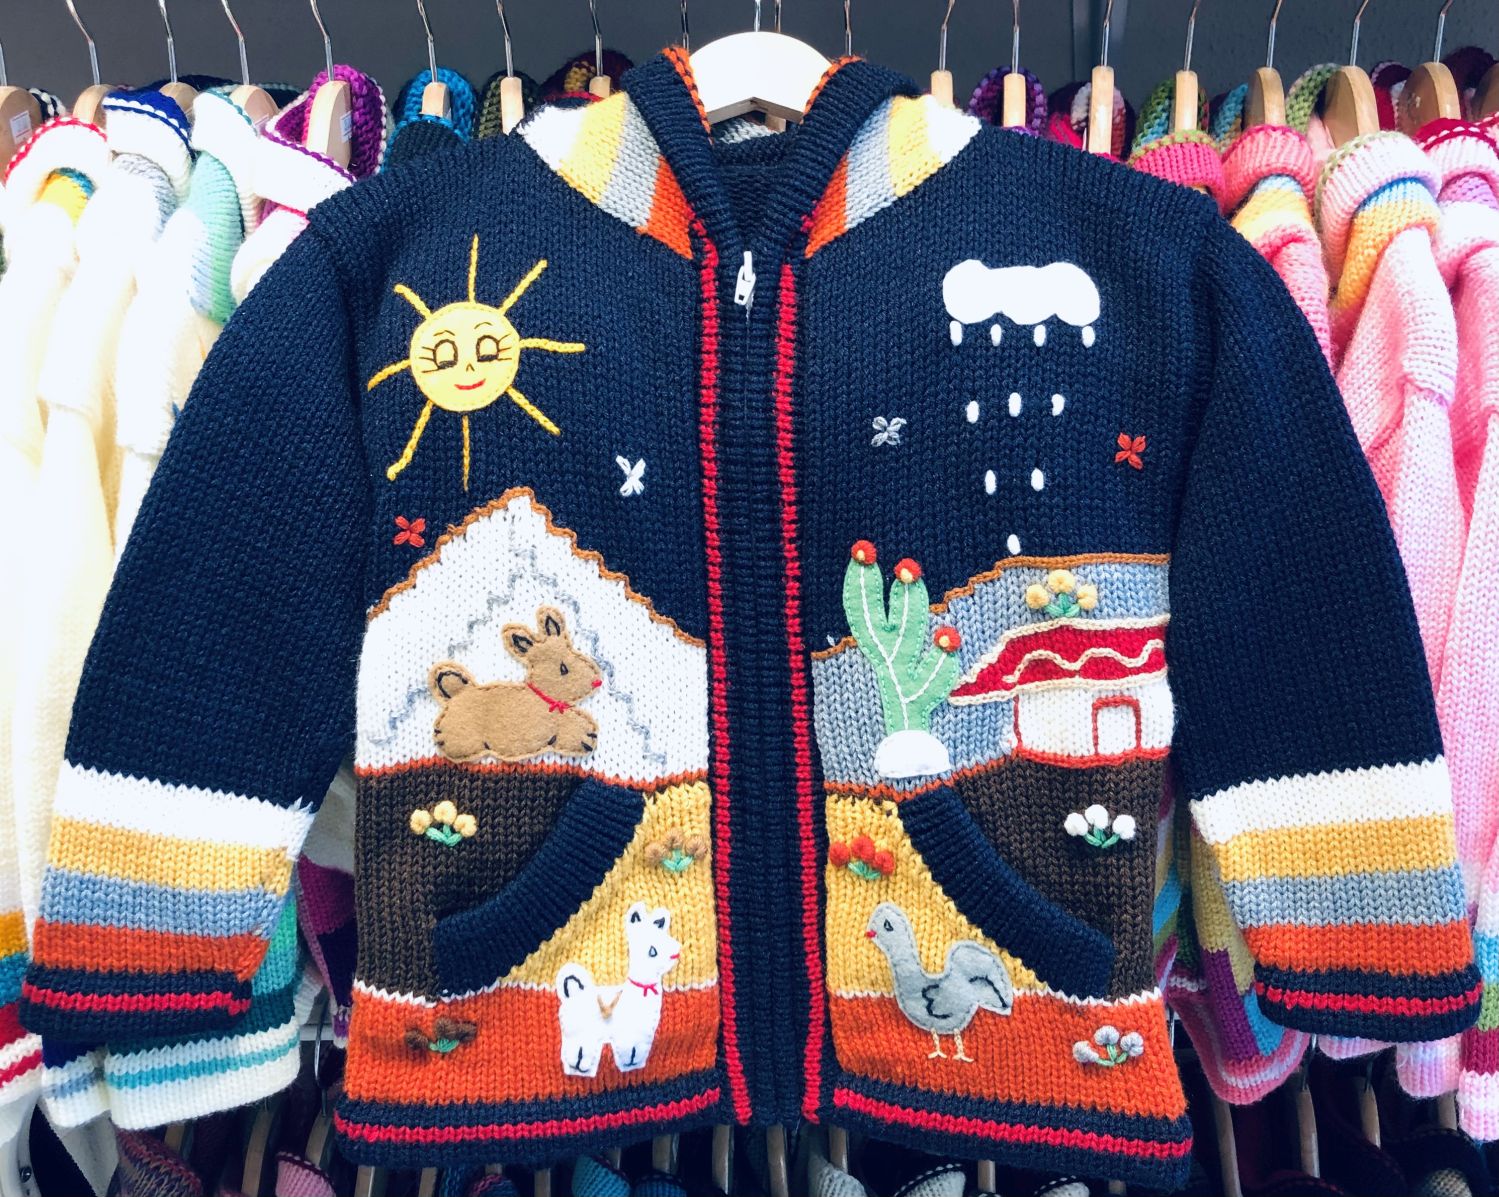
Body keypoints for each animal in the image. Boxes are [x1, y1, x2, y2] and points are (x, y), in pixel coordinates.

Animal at [428, 606, 602, 763]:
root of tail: (458, 693)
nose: (597, 681)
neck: (543, 697)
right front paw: (586, 737)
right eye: (563, 668)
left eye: (574, 654)